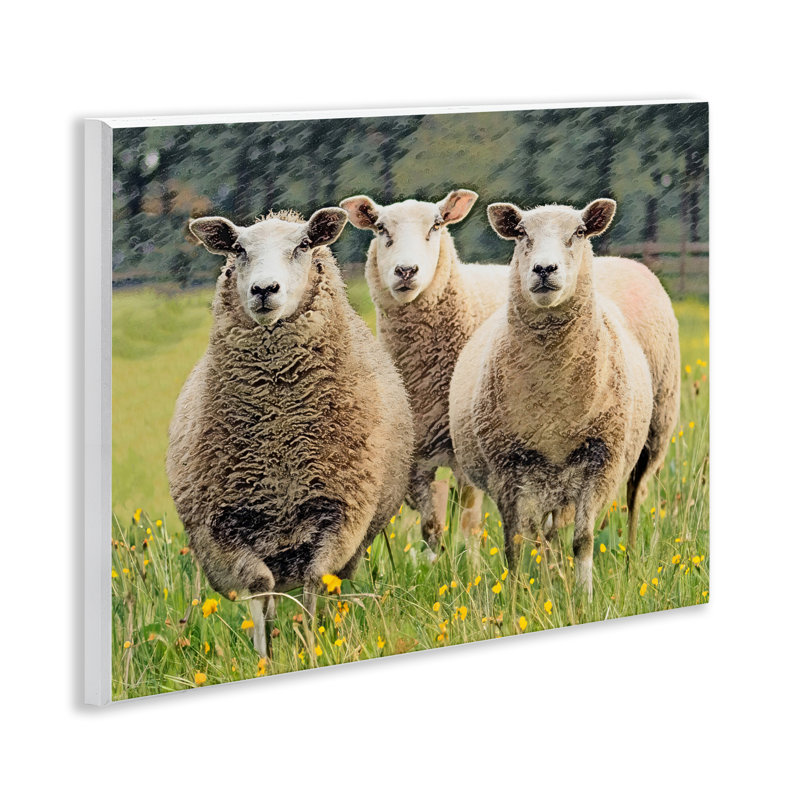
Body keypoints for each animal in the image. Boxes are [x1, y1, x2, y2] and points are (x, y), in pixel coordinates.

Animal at [167, 207, 413, 657]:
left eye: (302, 245)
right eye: (238, 249)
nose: (264, 289)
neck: (279, 432)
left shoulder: (340, 514)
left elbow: (316, 580)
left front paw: (312, 644)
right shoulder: (223, 528)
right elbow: (258, 587)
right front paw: (266, 657)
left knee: (324, 586)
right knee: (270, 592)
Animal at [340, 190, 509, 552]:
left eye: (436, 225)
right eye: (380, 228)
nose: (406, 270)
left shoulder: (465, 455)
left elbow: (468, 523)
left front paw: (469, 563)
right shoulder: (415, 460)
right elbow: (431, 528)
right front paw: (437, 561)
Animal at [449, 199, 680, 598]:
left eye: (579, 232)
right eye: (521, 233)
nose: (544, 269)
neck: (554, 402)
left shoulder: (600, 461)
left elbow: (583, 540)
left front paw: (584, 597)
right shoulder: (506, 469)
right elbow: (516, 544)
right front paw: (517, 599)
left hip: (652, 438)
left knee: (634, 500)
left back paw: (630, 562)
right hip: (546, 479)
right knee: (545, 534)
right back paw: (550, 579)